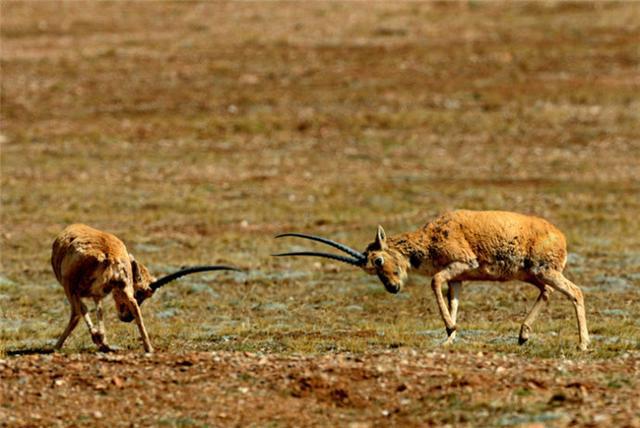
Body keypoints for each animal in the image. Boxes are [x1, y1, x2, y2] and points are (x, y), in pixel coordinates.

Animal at [51, 222, 241, 352]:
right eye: (141, 292)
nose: (125, 318)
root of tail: (108, 254)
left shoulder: (77, 290)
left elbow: (85, 310)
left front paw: (100, 340)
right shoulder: (98, 294)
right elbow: (99, 310)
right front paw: (103, 341)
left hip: (70, 287)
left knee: (76, 312)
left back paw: (57, 346)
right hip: (122, 289)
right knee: (134, 308)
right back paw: (148, 348)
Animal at [274, 209, 592, 350]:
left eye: (378, 260)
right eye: (370, 268)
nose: (393, 288)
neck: (429, 237)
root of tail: (560, 236)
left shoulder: (461, 264)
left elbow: (434, 282)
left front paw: (450, 329)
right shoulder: (459, 278)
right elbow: (453, 300)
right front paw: (448, 339)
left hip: (544, 271)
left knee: (575, 292)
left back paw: (583, 344)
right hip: (532, 275)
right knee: (548, 293)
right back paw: (523, 335)